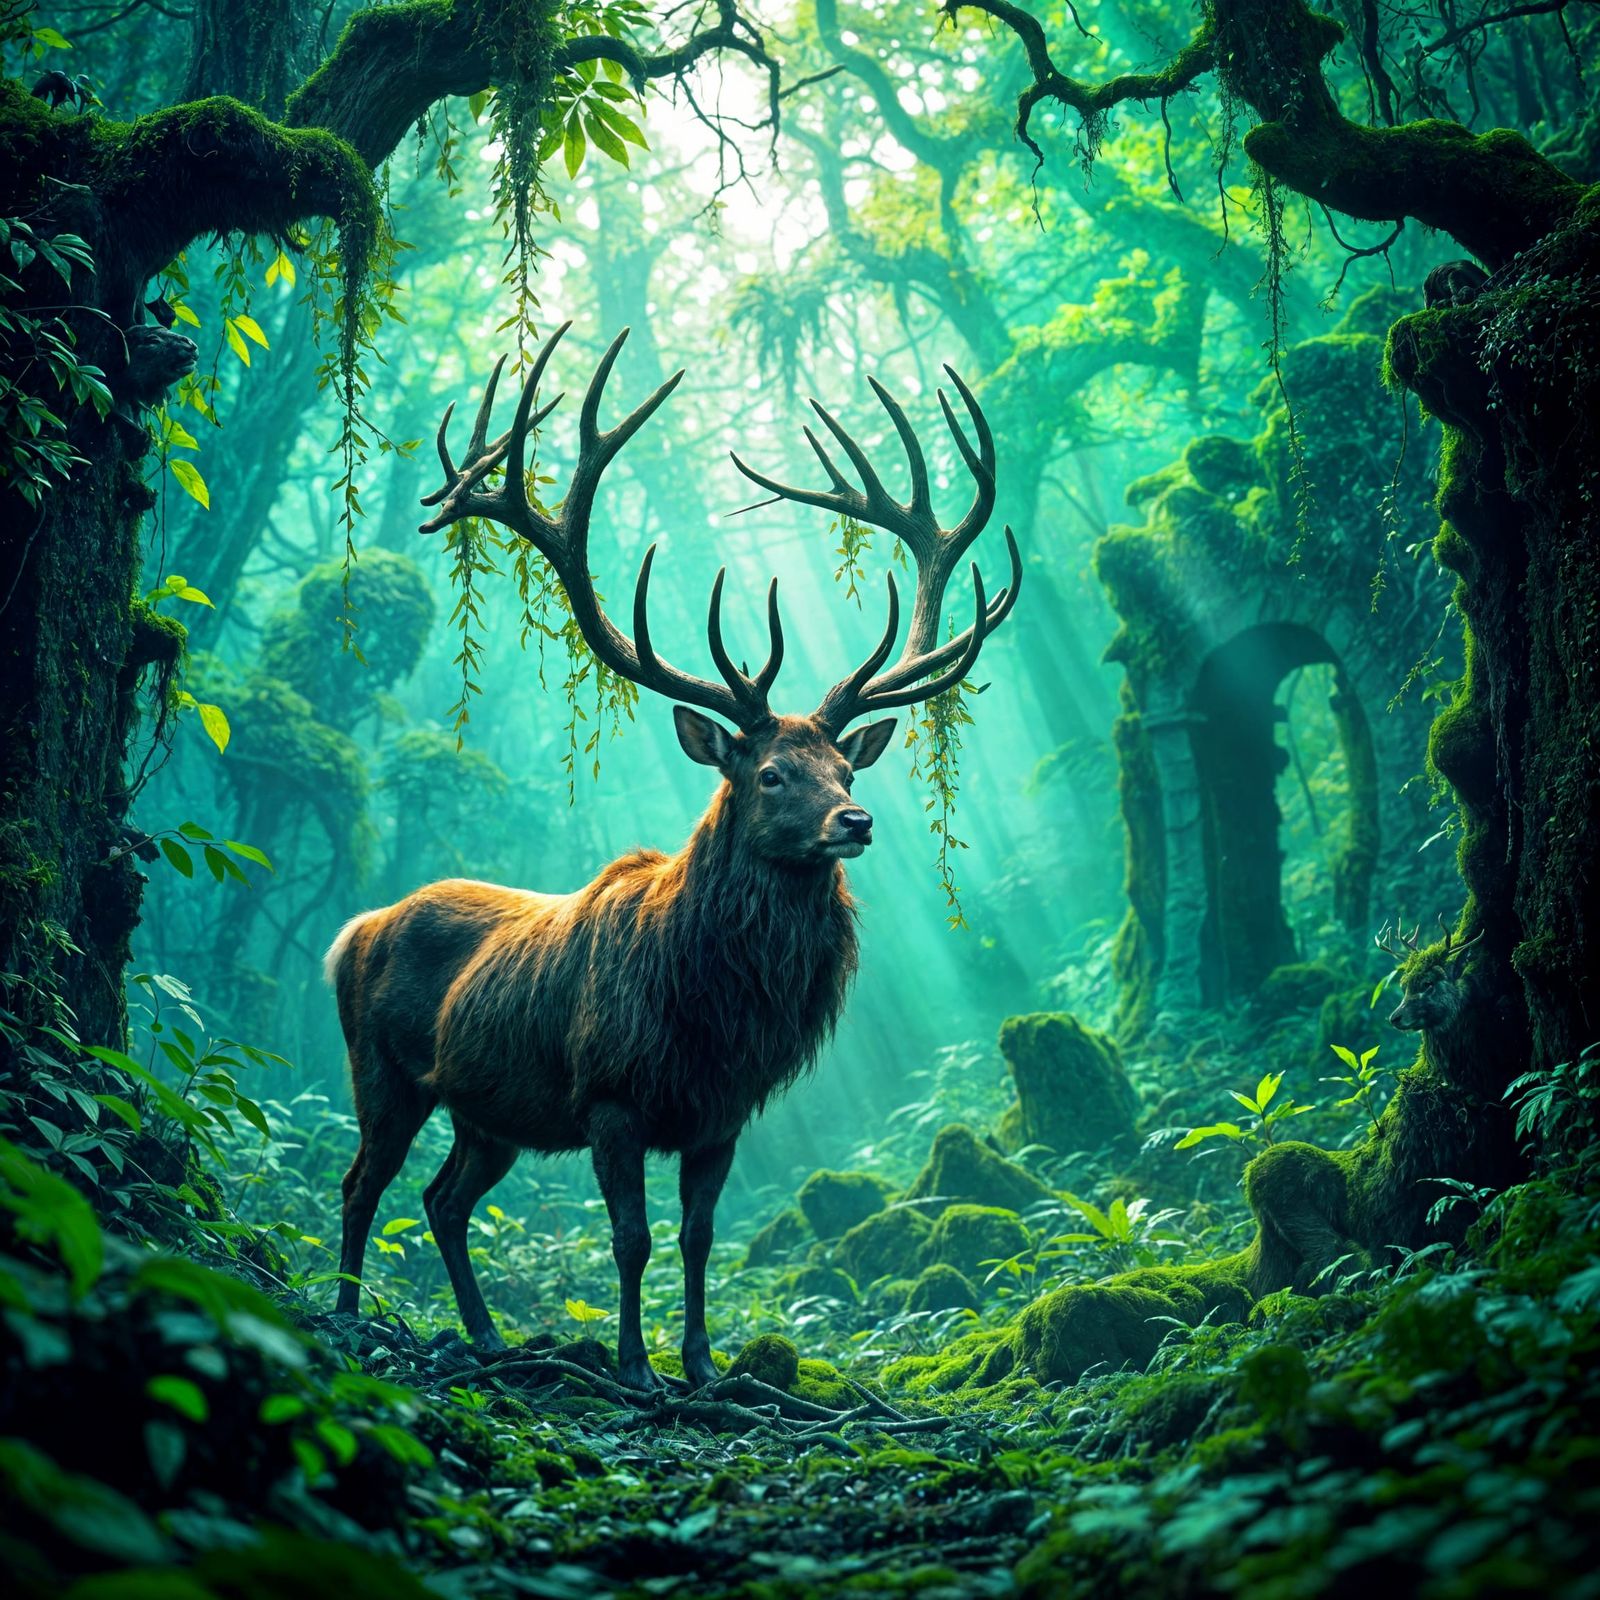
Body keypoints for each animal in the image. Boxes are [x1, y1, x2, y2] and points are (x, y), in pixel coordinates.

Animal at [325, 323, 1020, 1390]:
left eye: (843, 768)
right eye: (770, 773)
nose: (855, 822)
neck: (711, 1008)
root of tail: (353, 930)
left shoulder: (721, 1114)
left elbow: (697, 1240)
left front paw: (700, 1364)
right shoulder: (611, 1097)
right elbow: (633, 1239)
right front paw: (635, 1368)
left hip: (488, 1112)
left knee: (444, 1199)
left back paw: (486, 1335)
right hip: (384, 1073)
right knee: (362, 1183)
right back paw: (349, 1313)